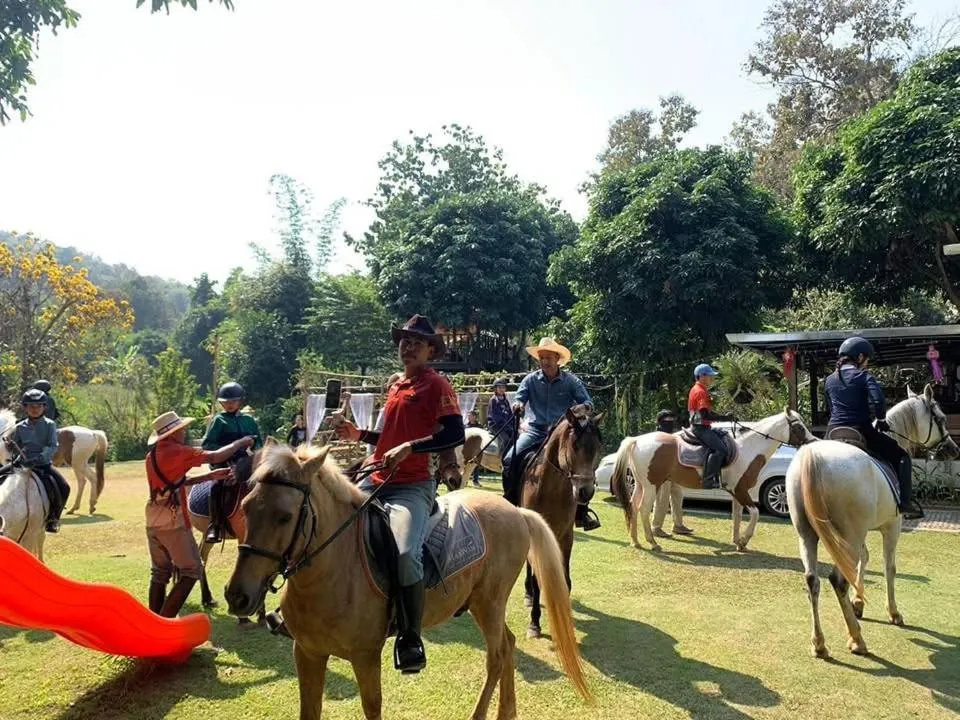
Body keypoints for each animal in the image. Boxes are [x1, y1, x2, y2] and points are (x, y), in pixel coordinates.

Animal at [225, 440, 590, 720]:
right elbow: (308, 710)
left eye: (285, 517)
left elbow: (372, 707)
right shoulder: (307, 653)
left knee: (497, 655)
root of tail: (517, 512)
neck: (332, 571)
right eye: (246, 507)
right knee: (509, 645)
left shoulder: (365, 656)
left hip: (490, 603)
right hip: (484, 605)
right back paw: (506, 712)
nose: (236, 596)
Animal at [520, 405, 605, 640]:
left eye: (597, 447)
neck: (551, 489)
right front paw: (534, 623)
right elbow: (538, 582)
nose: (585, 492)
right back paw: (528, 595)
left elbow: (565, 581)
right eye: (574, 445)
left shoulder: (566, 536)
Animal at [611, 410, 814, 552]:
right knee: (644, 510)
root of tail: (637, 440)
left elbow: (737, 516)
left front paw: (738, 542)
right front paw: (744, 540)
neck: (748, 449)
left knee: (632, 506)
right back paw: (652, 543)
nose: (812, 442)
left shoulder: (736, 492)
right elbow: (755, 514)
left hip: (640, 485)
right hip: (652, 486)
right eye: (799, 427)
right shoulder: (741, 490)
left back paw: (636, 541)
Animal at [787, 384, 959, 659]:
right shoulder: (892, 526)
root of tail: (815, 456)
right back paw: (857, 639)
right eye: (941, 419)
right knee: (837, 580)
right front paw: (894, 613)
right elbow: (889, 567)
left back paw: (819, 644)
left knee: (812, 580)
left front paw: (858, 603)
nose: (953, 449)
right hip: (849, 535)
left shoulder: (862, 533)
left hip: (809, 535)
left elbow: (864, 559)